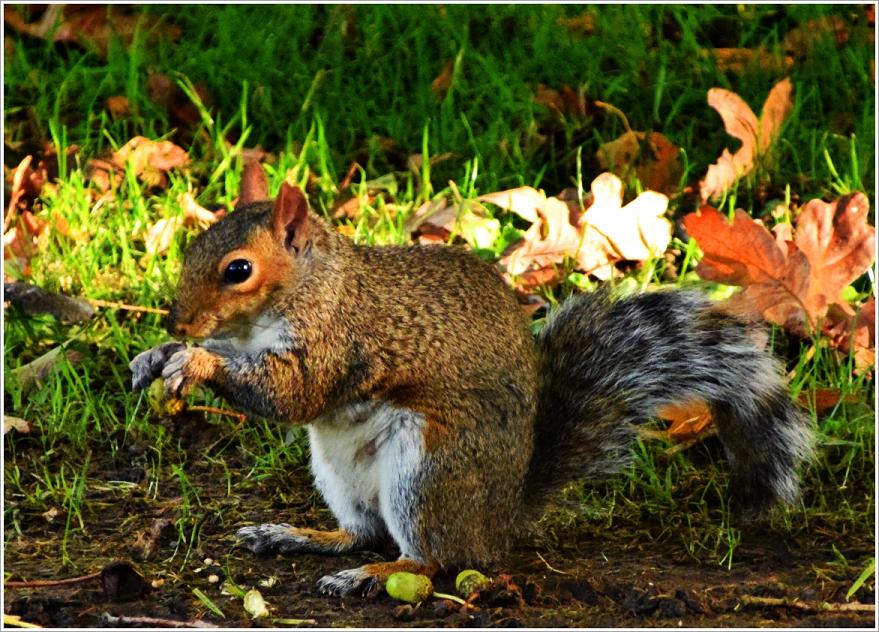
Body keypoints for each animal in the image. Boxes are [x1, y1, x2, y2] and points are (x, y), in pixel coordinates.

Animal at [131, 163, 820, 596]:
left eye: (238, 269)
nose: (177, 319)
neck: (309, 285)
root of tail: (499, 520)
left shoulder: (340, 338)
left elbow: (293, 392)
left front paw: (196, 362)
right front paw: (157, 355)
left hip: (428, 469)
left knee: (432, 557)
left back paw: (374, 577)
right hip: (338, 472)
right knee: (359, 533)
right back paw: (299, 536)